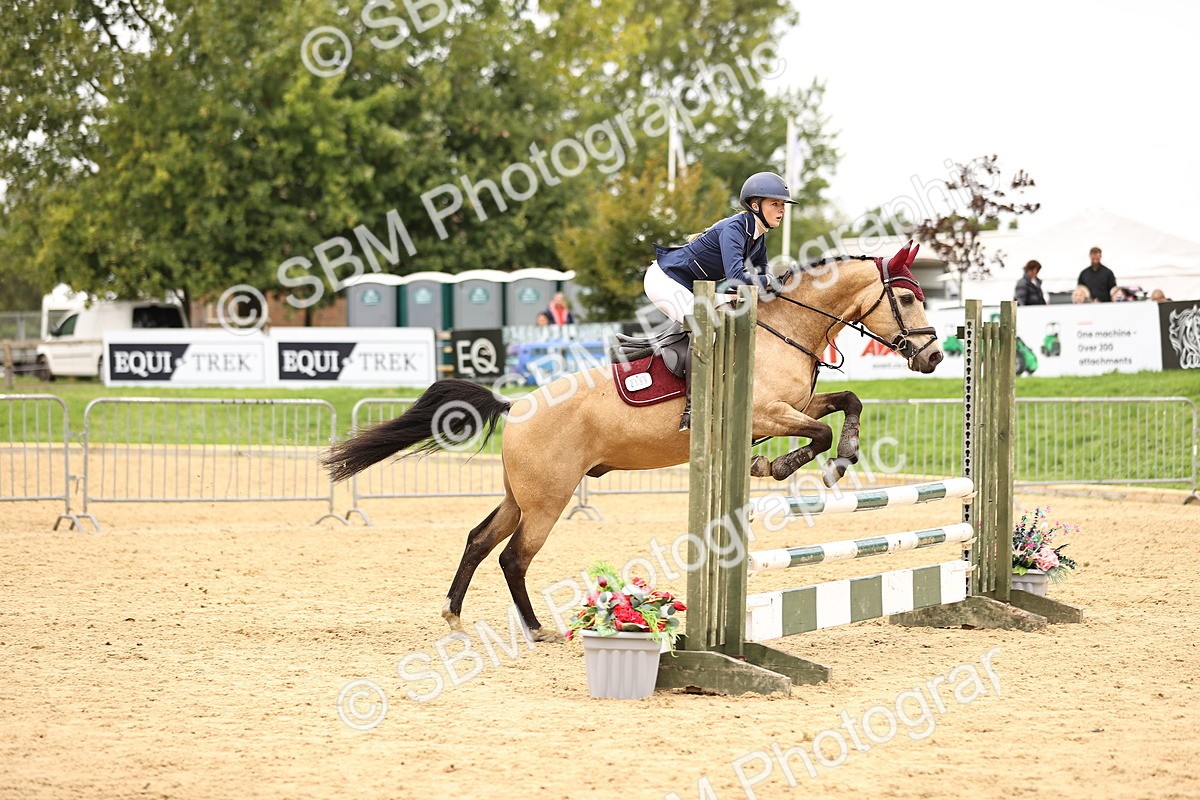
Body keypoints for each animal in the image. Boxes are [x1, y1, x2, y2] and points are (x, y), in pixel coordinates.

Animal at [323, 243, 943, 642]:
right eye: (910, 299)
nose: (935, 356)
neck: (783, 330)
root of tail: (515, 407)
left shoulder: (793, 405)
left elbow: (847, 403)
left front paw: (845, 454)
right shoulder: (768, 414)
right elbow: (818, 432)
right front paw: (785, 466)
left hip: (521, 495)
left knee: (479, 541)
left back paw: (455, 614)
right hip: (548, 499)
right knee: (513, 557)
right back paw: (538, 629)